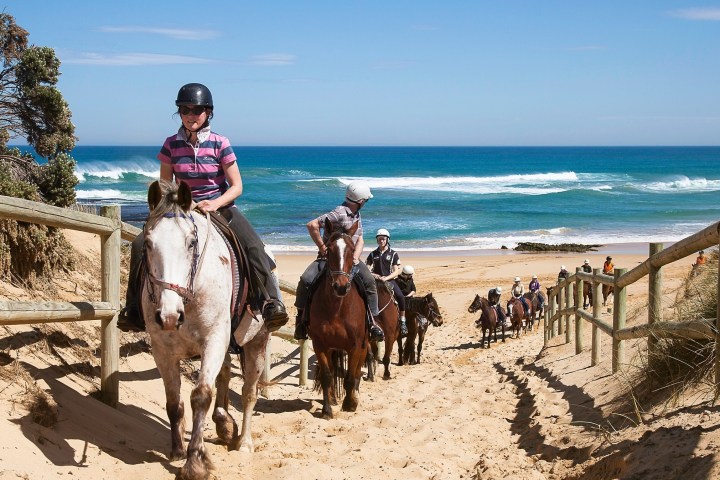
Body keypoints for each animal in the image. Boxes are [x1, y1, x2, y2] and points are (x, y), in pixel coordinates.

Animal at [139, 180, 268, 480]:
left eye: (191, 243)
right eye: (148, 243)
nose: (169, 315)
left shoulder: (214, 340)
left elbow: (200, 396)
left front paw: (195, 462)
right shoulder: (161, 349)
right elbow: (173, 401)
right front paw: (177, 450)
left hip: (256, 342)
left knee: (248, 393)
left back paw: (244, 442)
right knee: (225, 374)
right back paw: (224, 423)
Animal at [308, 219, 368, 418]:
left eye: (352, 249)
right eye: (329, 249)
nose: (341, 287)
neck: (336, 308)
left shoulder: (355, 346)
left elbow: (350, 377)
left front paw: (350, 404)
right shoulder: (320, 345)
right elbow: (327, 376)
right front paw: (327, 410)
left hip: (365, 344)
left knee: (356, 373)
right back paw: (334, 398)